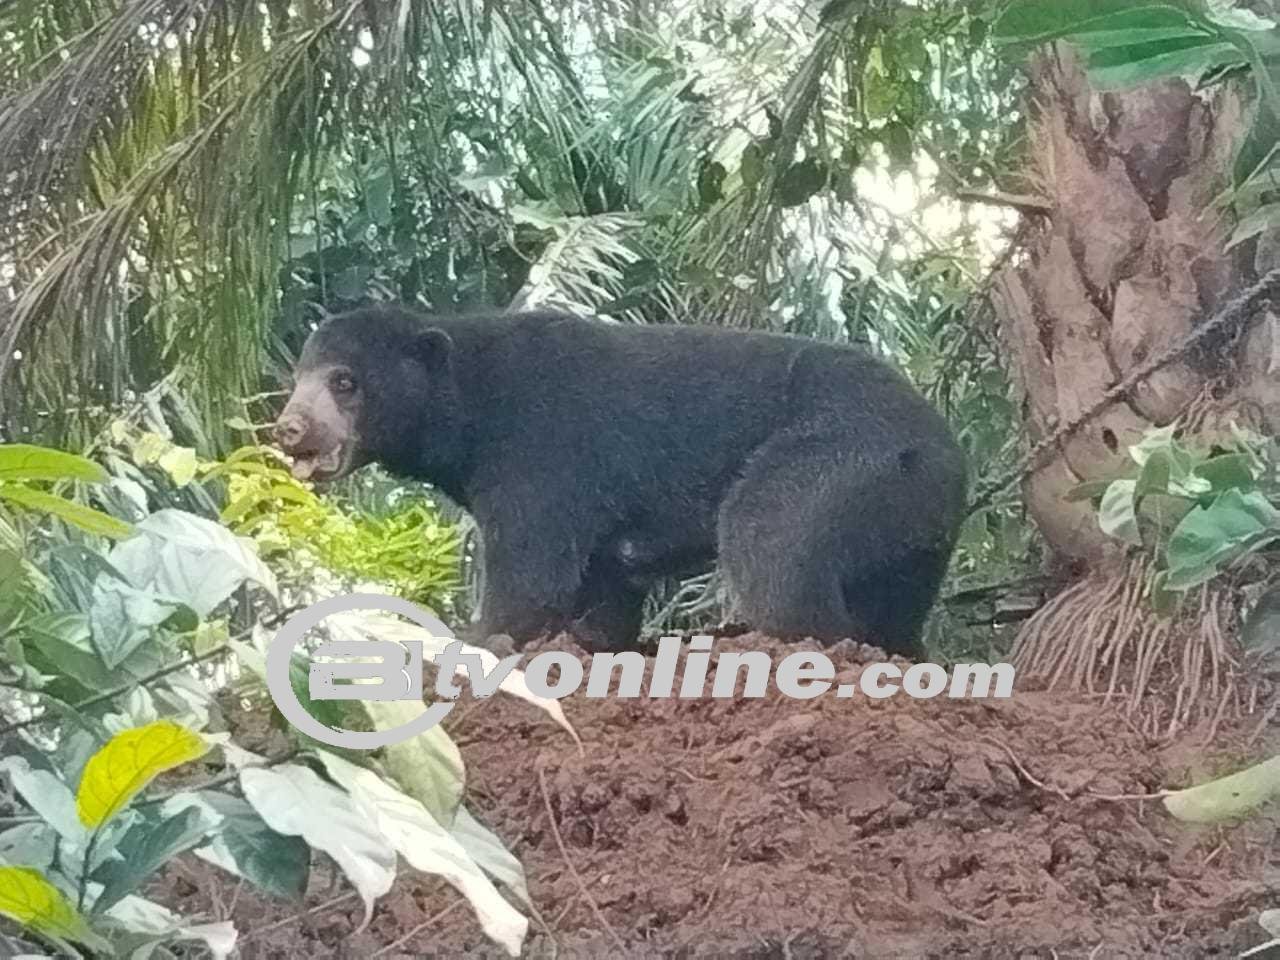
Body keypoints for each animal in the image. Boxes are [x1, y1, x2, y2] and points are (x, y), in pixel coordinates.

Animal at [272, 304, 967, 660]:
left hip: (844, 457)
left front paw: (475, 636)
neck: (468, 407)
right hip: (907, 533)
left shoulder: (541, 449)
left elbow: (532, 571)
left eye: (345, 382)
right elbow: (602, 585)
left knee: (771, 538)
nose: (290, 429)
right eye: (297, 378)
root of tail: (948, 454)